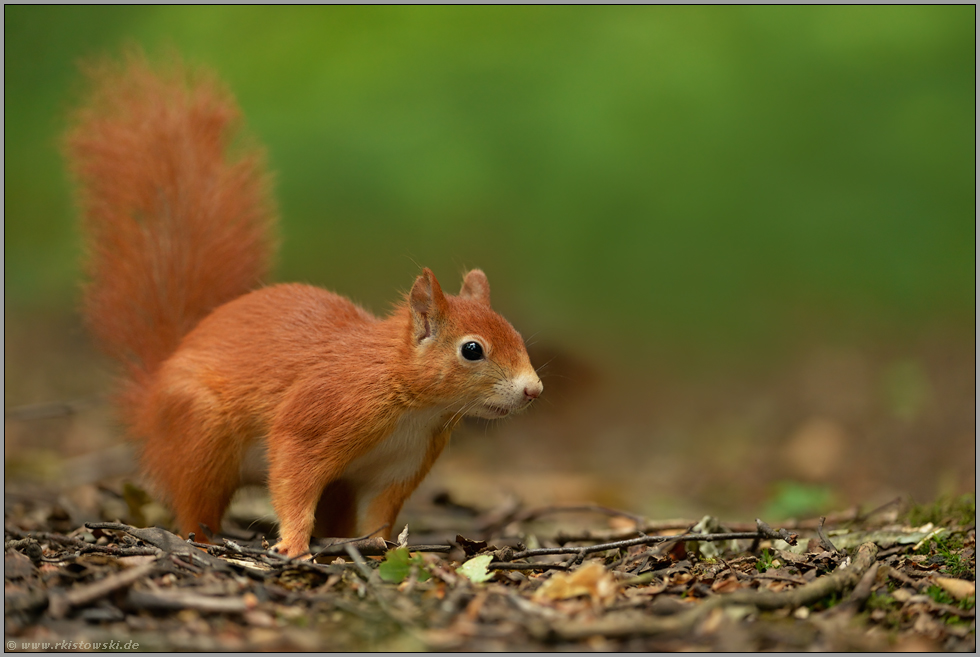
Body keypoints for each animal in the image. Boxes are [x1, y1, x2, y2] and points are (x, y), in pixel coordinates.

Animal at [65, 54, 542, 558]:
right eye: (472, 350)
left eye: (514, 333)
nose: (534, 390)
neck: (412, 404)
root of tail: (152, 396)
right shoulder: (319, 415)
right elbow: (294, 476)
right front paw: (294, 544)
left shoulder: (400, 464)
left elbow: (379, 513)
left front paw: (387, 547)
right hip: (200, 433)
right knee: (195, 499)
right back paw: (204, 538)